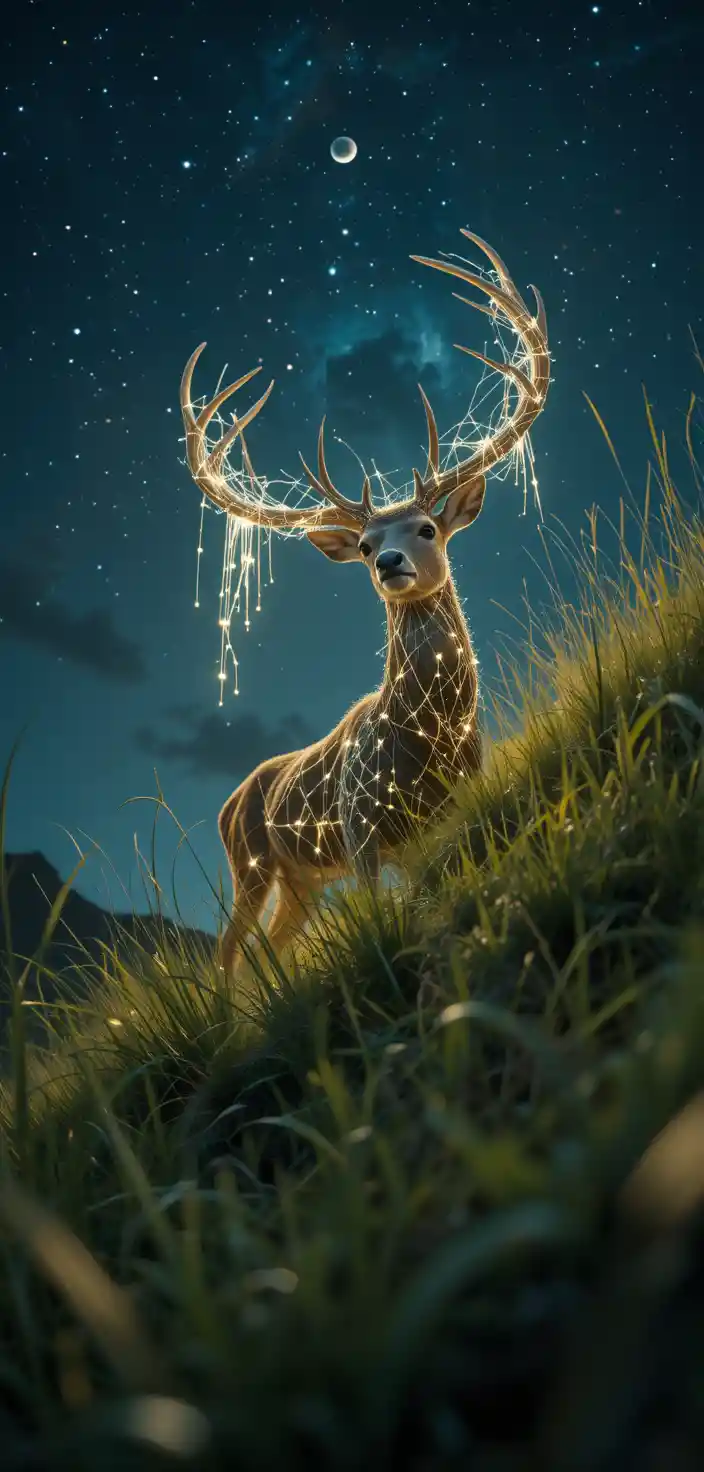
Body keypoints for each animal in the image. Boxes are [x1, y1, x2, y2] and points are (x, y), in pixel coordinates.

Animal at [180, 230, 550, 977]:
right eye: (366, 542)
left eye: (427, 528)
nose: (387, 563)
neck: (426, 740)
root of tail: (229, 800)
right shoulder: (361, 830)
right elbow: (384, 915)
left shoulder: (449, 815)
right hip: (251, 861)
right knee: (232, 948)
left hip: (300, 881)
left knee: (273, 943)